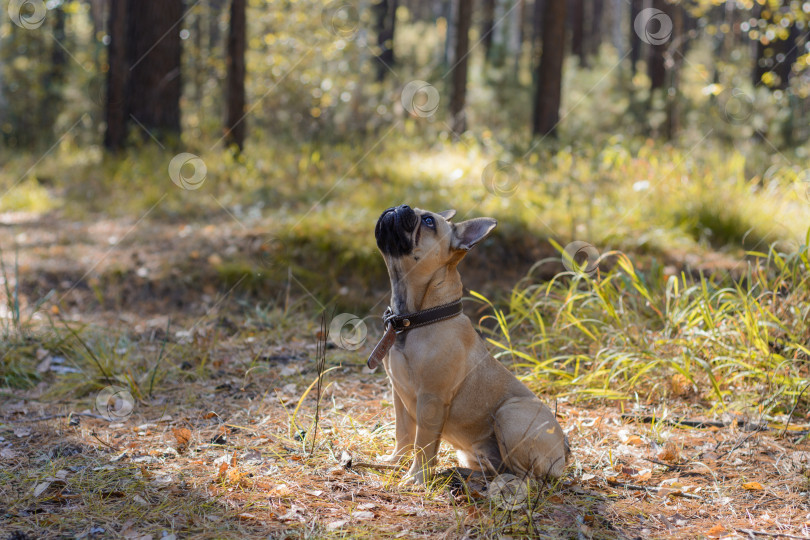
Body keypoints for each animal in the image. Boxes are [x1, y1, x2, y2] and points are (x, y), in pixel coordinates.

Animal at [372, 204, 568, 486]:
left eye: (428, 221)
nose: (399, 207)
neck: (413, 319)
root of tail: (564, 450)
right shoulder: (398, 393)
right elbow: (404, 433)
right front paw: (394, 461)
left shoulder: (431, 399)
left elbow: (423, 442)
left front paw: (416, 477)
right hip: (473, 452)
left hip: (509, 413)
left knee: (529, 476)